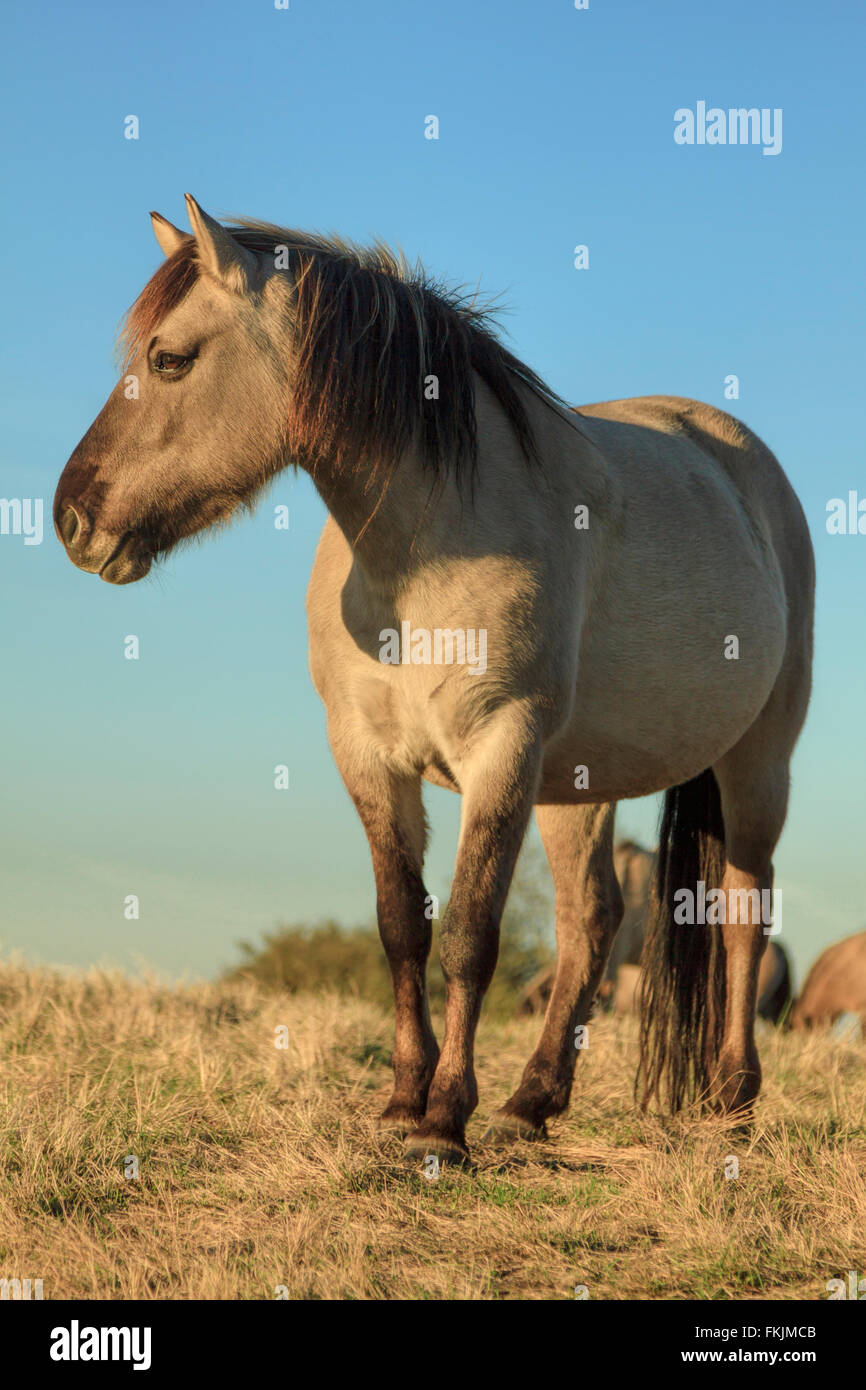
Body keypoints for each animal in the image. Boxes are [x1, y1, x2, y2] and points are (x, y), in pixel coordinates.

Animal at [52, 201, 811, 1167]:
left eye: (169, 359)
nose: (71, 519)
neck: (423, 556)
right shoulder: (369, 758)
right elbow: (402, 927)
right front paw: (402, 1100)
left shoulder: (502, 751)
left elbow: (470, 936)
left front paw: (446, 1121)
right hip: (577, 786)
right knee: (591, 921)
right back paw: (532, 1103)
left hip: (757, 762)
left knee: (743, 911)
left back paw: (730, 1101)